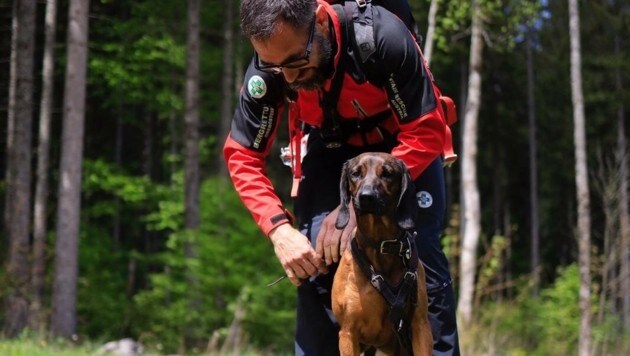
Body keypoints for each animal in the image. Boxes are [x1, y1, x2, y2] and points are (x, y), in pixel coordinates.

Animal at [330, 152, 434, 356]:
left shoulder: (420, 327)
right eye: (356, 173)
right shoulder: (347, 333)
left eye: (387, 174)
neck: (381, 245)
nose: (366, 197)